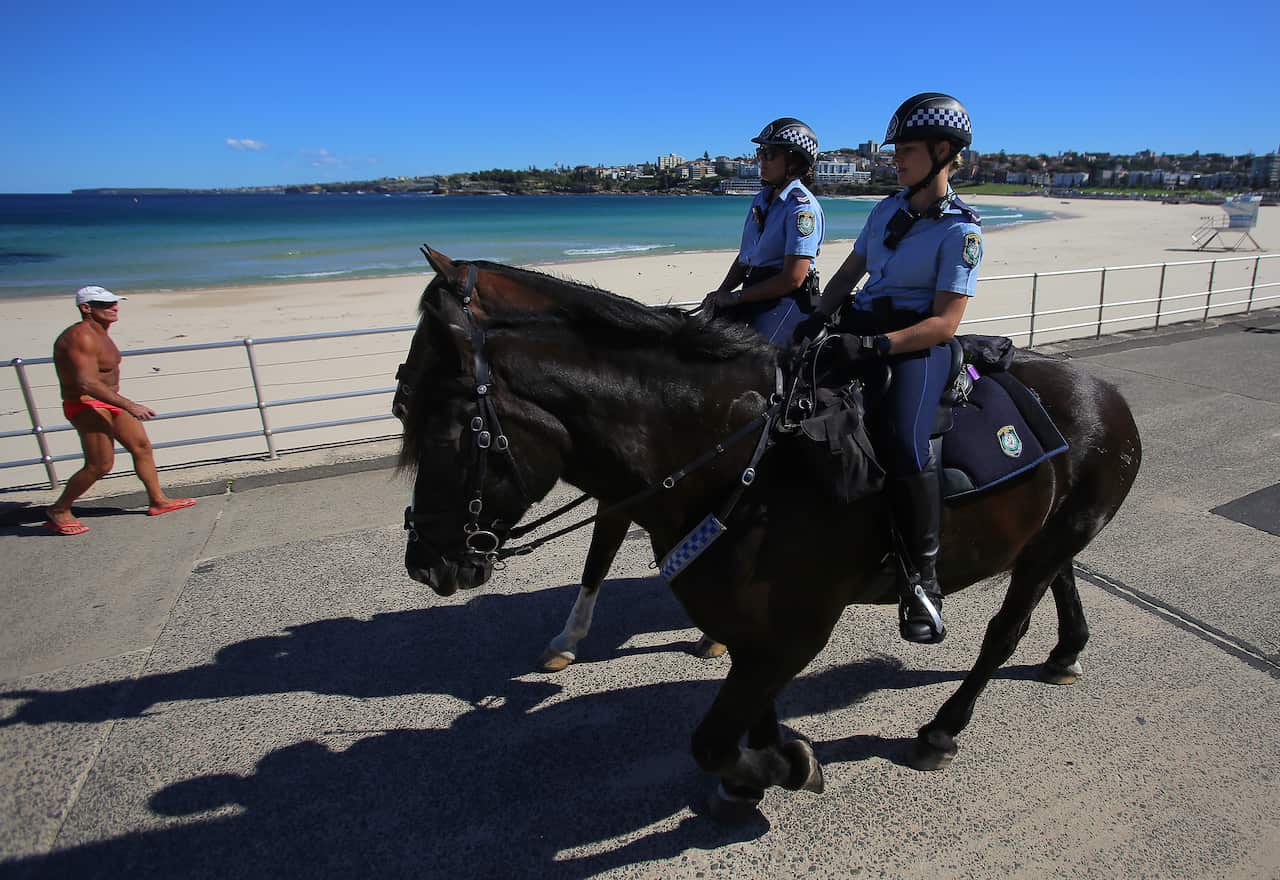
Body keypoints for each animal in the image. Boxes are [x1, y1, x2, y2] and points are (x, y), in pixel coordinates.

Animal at [398, 246, 1142, 817]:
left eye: (446, 430)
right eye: (404, 409)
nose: (424, 563)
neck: (741, 455)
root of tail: (1102, 391)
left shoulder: (794, 631)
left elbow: (711, 740)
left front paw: (783, 768)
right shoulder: (751, 629)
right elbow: (747, 715)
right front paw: (762, 765)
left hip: (1051, 541)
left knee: (1004, 630)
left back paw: (942, 729)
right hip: (1047, 536)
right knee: (1060, 579)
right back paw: (1066, 651)